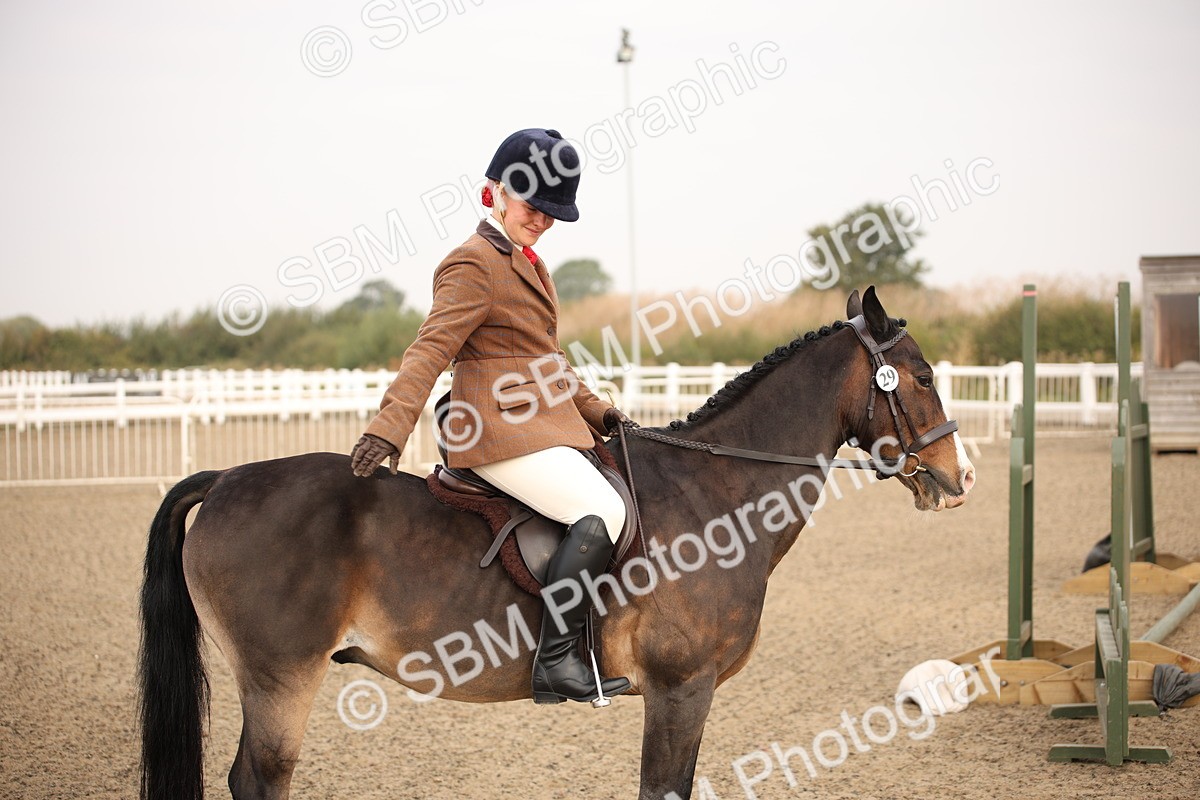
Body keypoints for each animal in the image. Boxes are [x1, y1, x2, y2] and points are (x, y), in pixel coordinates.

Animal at [138, 287, 975, 800]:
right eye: (922, 377)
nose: (959, 475)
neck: (716, 490)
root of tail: (225, 478)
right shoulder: (682, 687)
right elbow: (662, 788)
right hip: (281, 678)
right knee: (259, 780)